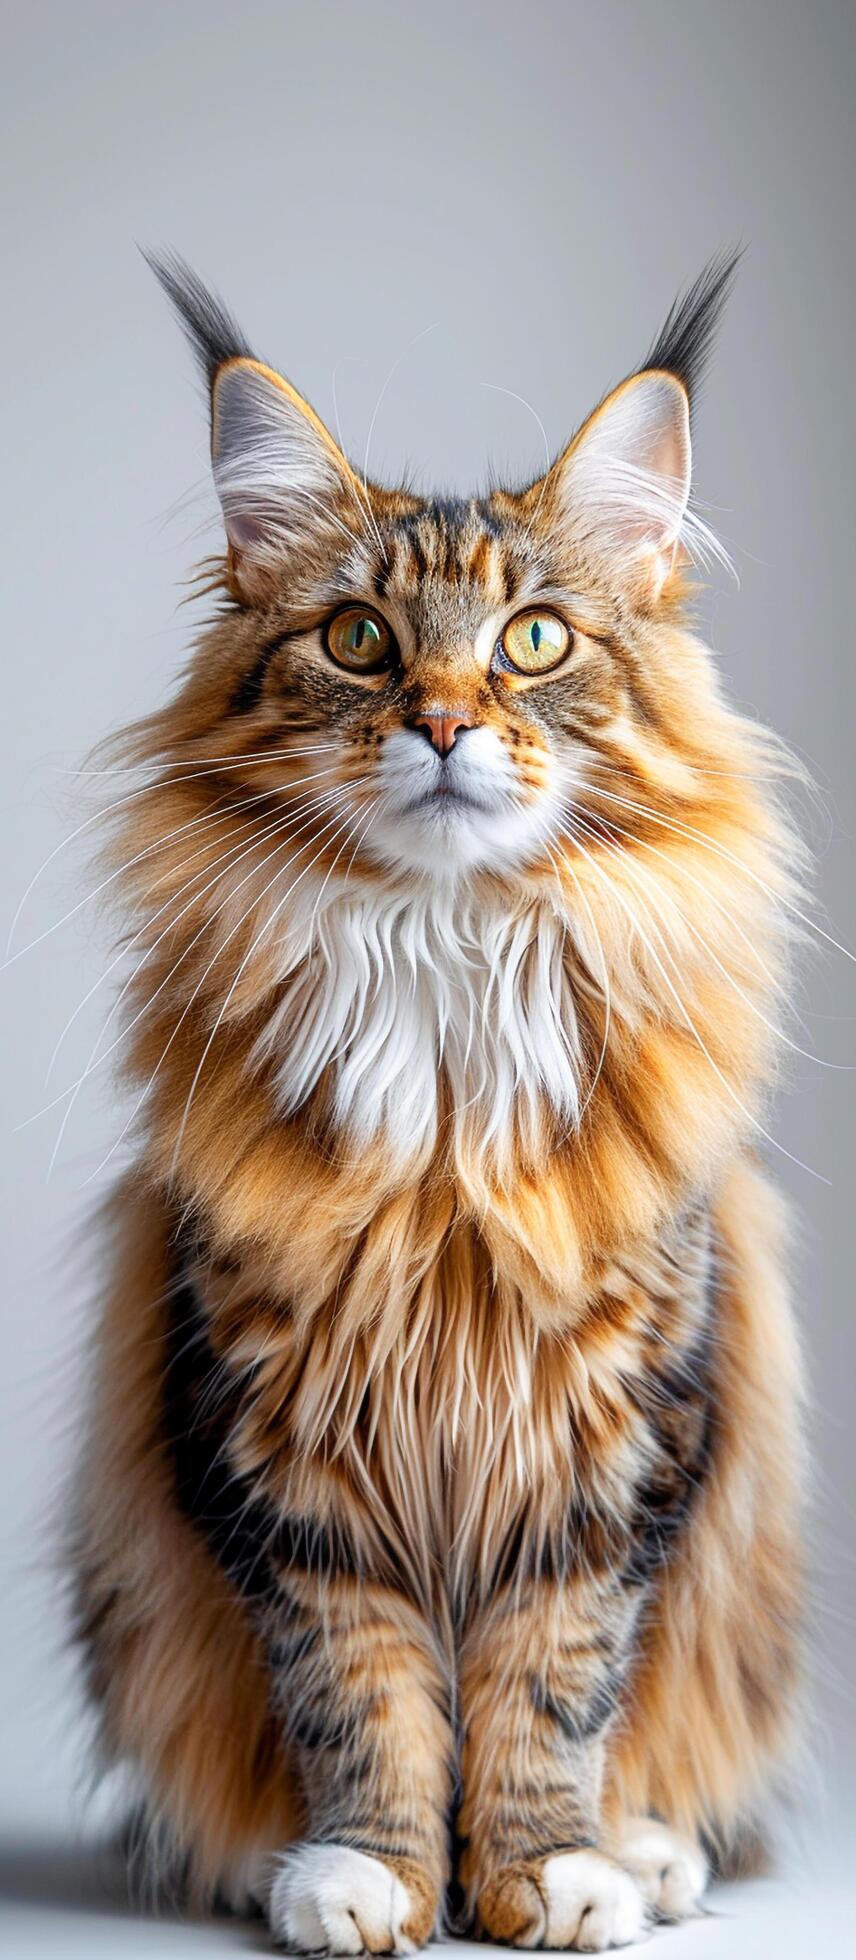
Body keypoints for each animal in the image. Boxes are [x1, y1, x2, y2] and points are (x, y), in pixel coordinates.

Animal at [71, 252, 799, 1952]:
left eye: (532, 642)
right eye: (355, 638)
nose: (450, 722)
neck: (451, 968)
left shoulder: (617, 1443)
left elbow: (555, 1684)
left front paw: (545, 1875)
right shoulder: (278, 1440)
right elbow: (361, 1689)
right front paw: (378, 1879)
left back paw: (649, 1854)